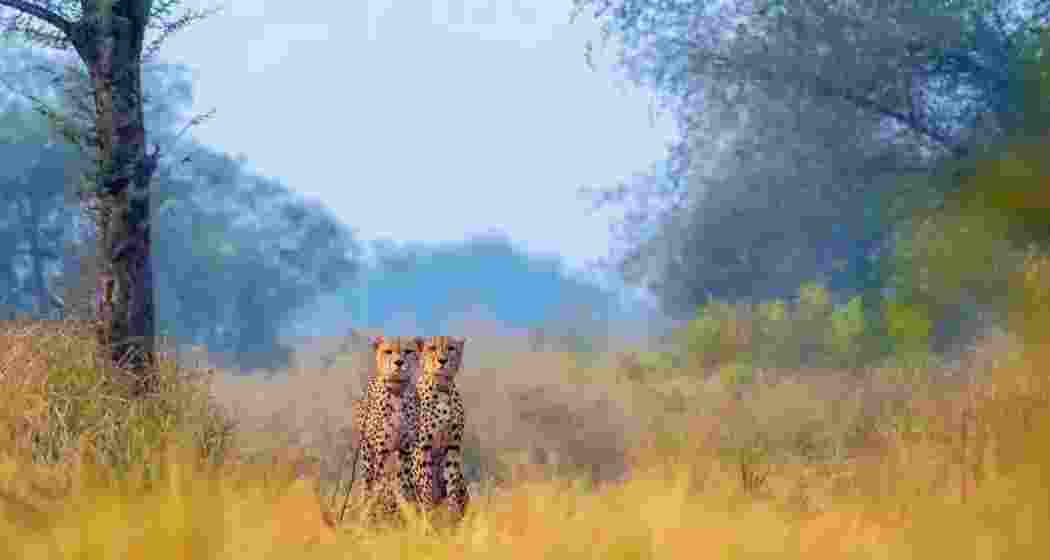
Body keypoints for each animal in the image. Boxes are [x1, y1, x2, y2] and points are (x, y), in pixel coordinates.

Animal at [356, 335, 423, 527]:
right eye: (388, 351)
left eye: (408, 351)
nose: (399, 362)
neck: (397, 391)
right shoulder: (381, 449)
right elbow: (380, 484)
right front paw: (376, 513)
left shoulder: (406, 449)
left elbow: (405, 484)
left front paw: (407, 510)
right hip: (367, 453)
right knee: (369, 482)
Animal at [411, 336, 470, 527]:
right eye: (432, 348)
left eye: (451, 348)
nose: (442, 361)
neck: (442, 388)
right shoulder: (422, 447)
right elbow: (426, 484)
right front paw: (428, 514)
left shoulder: (452, 446)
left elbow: (451, 481)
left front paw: (452, 513)